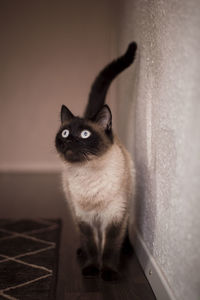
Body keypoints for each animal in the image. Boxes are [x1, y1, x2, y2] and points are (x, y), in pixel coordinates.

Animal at [55, 42, 138, 282]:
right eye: (65, 133)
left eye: (84, 134)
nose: (69, 140)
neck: (87, 173)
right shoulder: (85, 219)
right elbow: (93, 245)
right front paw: (91, 269)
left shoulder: (115, 217)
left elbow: (110, 247)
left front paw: (108, 272)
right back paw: (81, 252)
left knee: (121, 237)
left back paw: (127, 250)